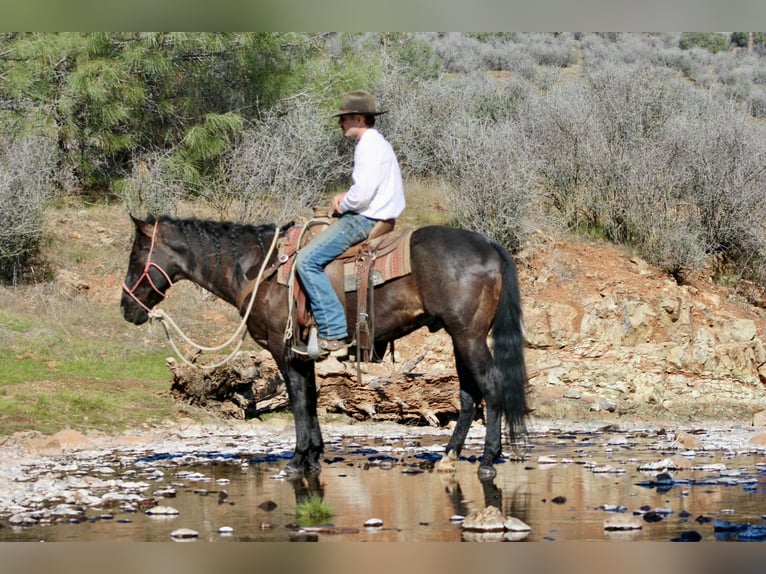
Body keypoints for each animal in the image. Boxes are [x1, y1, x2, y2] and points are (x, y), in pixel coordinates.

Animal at [121, 214, 529, 478]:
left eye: (136, 255)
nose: (127, 307)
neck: (259, 269)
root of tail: (489, 245)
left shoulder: (283, 350)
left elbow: (299, 401)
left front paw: (298, 459)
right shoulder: (304, 355)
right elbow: (312, 399)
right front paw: (314, 455)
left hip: (469, 335)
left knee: (491, 386)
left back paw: (488, 459)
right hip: (460, 337)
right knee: (467, 394)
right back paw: (449, 455)